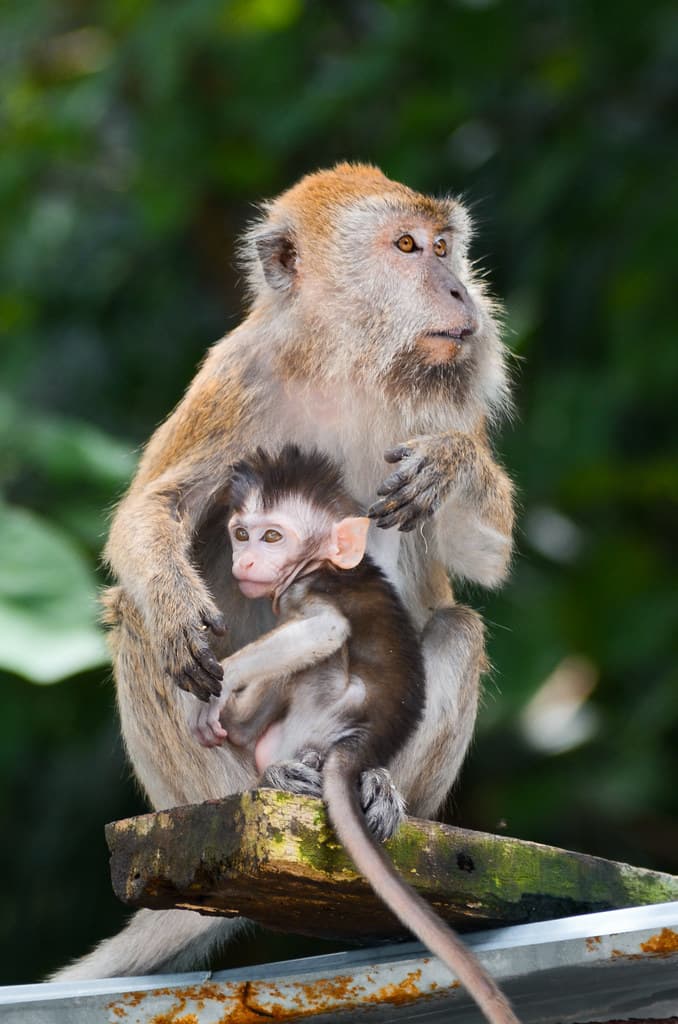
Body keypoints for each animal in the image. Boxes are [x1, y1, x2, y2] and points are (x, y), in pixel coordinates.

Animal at [190, 444, 519, 1024]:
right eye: (241, 533)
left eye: (272, 537)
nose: (244, 561)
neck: (321, 562)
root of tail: (361, 745)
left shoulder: (310, 588)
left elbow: (324, 632)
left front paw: (221, 688)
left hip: (326, 712)